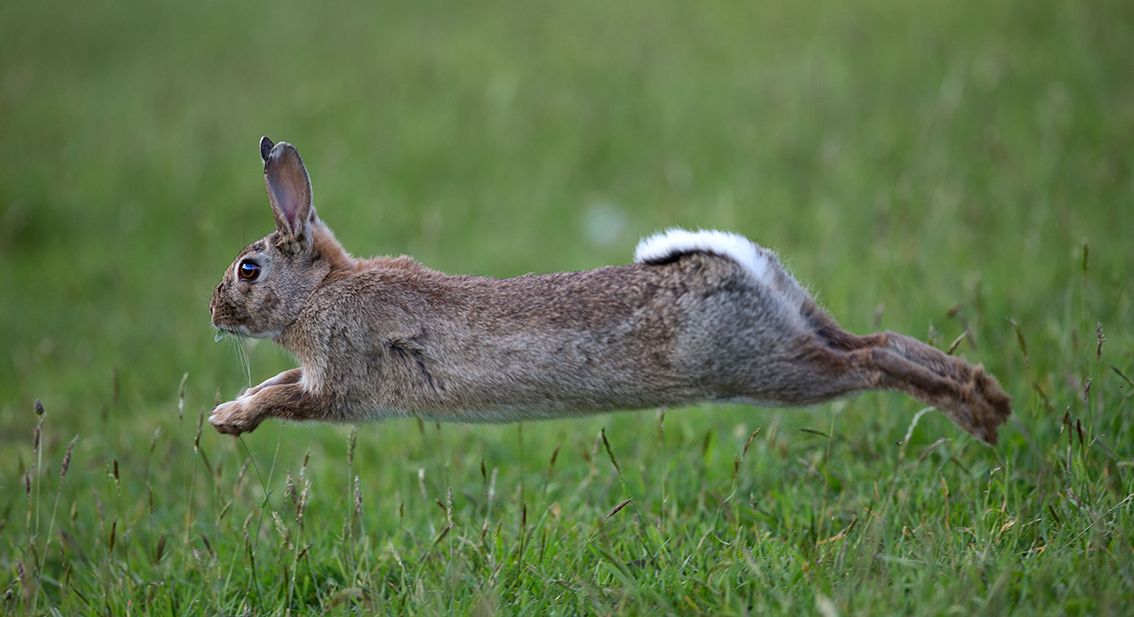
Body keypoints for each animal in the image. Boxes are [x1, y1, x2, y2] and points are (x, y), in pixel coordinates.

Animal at [208, 137, 1012, 444]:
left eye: (248, 270)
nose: (213, 313)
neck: (319, 288)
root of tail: (740, 265)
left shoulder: (342, 381)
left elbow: (286, 396)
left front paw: (230, 420)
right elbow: (277, 380)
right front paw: (224, 413)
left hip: (766, 368)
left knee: (867, 364)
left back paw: (973, 413)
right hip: (794, 328)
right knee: (880, 341)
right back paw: (988, 399)